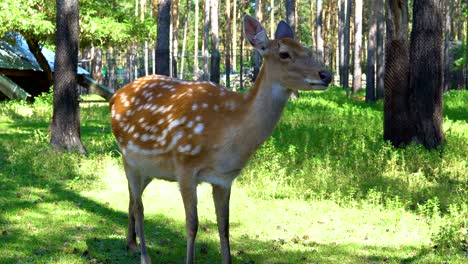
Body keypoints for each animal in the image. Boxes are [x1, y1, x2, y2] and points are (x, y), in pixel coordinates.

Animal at [109, 14, 330, 264]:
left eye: (308, 50)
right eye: (284, 54)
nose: (327, 75)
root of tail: (115, 95)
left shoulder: (225, 178)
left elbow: (224, 227)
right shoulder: (185, 167)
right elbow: (192, 225)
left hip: (149, 169)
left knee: (132, 198)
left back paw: (131, 244)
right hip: (128, 158)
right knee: (139, 206)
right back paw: (144, 256)